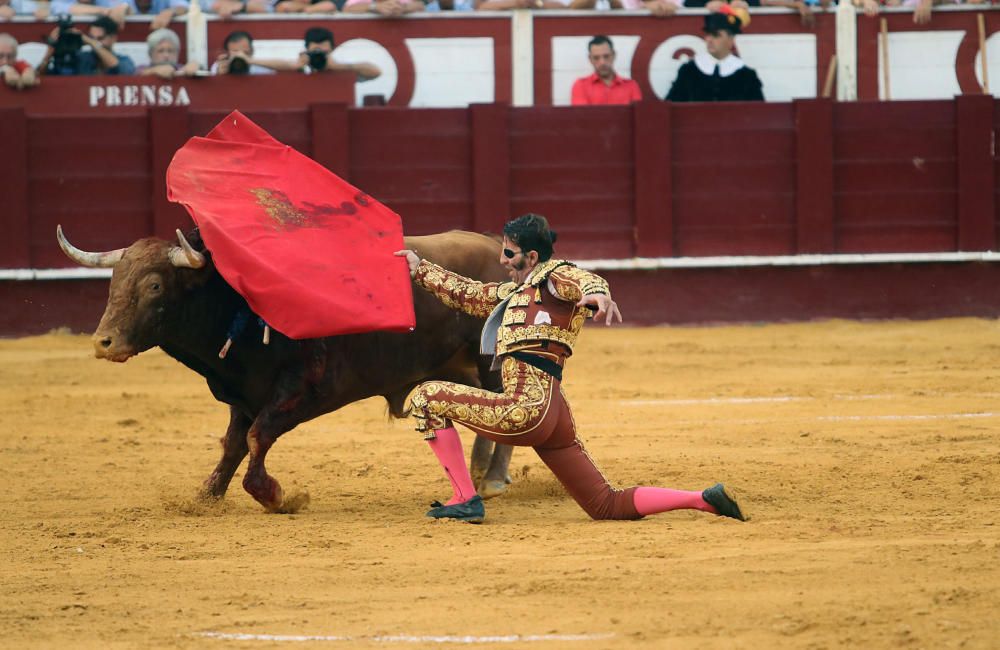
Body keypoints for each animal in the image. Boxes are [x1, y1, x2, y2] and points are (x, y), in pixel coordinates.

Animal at [57, 227, 516, 512]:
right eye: (114, 281)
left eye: (154, 285)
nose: (103, 342)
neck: (238, 300)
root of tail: (496, 251)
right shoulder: (242, 394)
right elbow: (232, 444)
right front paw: (207, 495)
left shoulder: (300, 388)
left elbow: (258, 437)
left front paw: (276, 496)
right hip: (459, 366)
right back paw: (478, 470)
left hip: (490, 362)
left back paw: (492, 479)